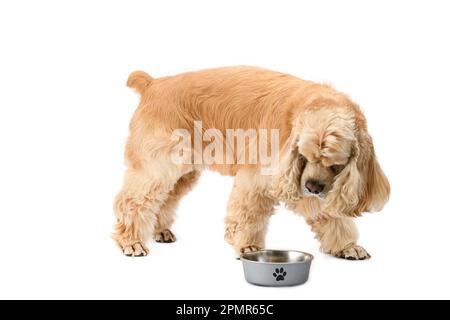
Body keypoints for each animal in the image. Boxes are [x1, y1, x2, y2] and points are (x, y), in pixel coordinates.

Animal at [113, 66, 390, 258]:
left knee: (165, 199)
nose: (312, 187)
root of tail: (153, 84)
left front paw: (346, 246)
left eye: (335, 164)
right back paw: (131, 242)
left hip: (183, 171)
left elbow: (330, 215)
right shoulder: (260, 177)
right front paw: (247, 246)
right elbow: (247, 214)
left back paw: (159, 231)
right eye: (303, 156)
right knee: (132, 201)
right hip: (157, 166)